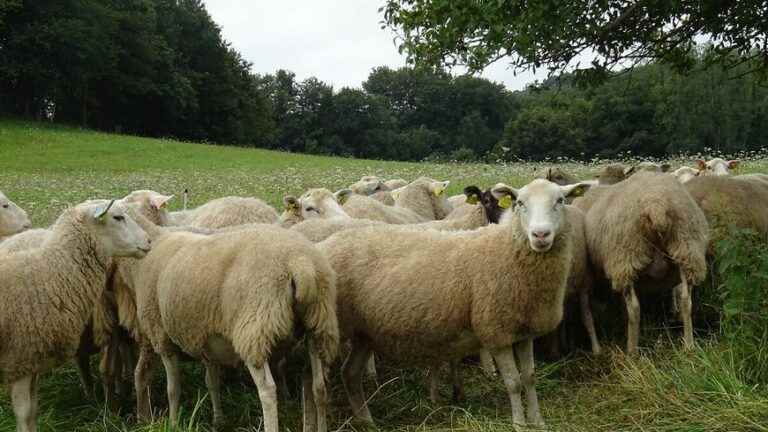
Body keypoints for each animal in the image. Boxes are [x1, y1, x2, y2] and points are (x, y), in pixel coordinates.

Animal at [0, 200, 150, 432]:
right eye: (117, 217)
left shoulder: (33, 361)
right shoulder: (20, 359)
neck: (47, 276)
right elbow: (24, 415)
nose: (148, 241)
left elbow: (33, 412)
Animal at [124, 223, 338, 432]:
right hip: (319, 323)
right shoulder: (206, 339)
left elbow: (173, 389)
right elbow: (212, 382)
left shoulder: (162, 337)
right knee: (319, 386)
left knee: (268, 390)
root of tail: (300, 263)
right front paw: (218, 420)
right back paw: (322, 425)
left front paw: (173, 423)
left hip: (254, 329)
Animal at [316, 178, 592, 426]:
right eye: (520, 203)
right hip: (330, 326)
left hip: (365, 330)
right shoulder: (496, 330)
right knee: (321, 382)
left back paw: (366, 420)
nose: (540, 235)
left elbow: (530, 377)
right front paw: (519, 423)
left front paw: (538, 421)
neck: (506, 249)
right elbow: (513, 383)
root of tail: (324, 244)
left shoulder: (524, 330)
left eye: (560, 200)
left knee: (350, 373)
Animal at [584, 171, 712, 354]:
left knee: (634, 308)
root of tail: (656, 205)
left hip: (625, 258)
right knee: (686, 300)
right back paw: (688, 345)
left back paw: (632, 351)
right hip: (687, 250)